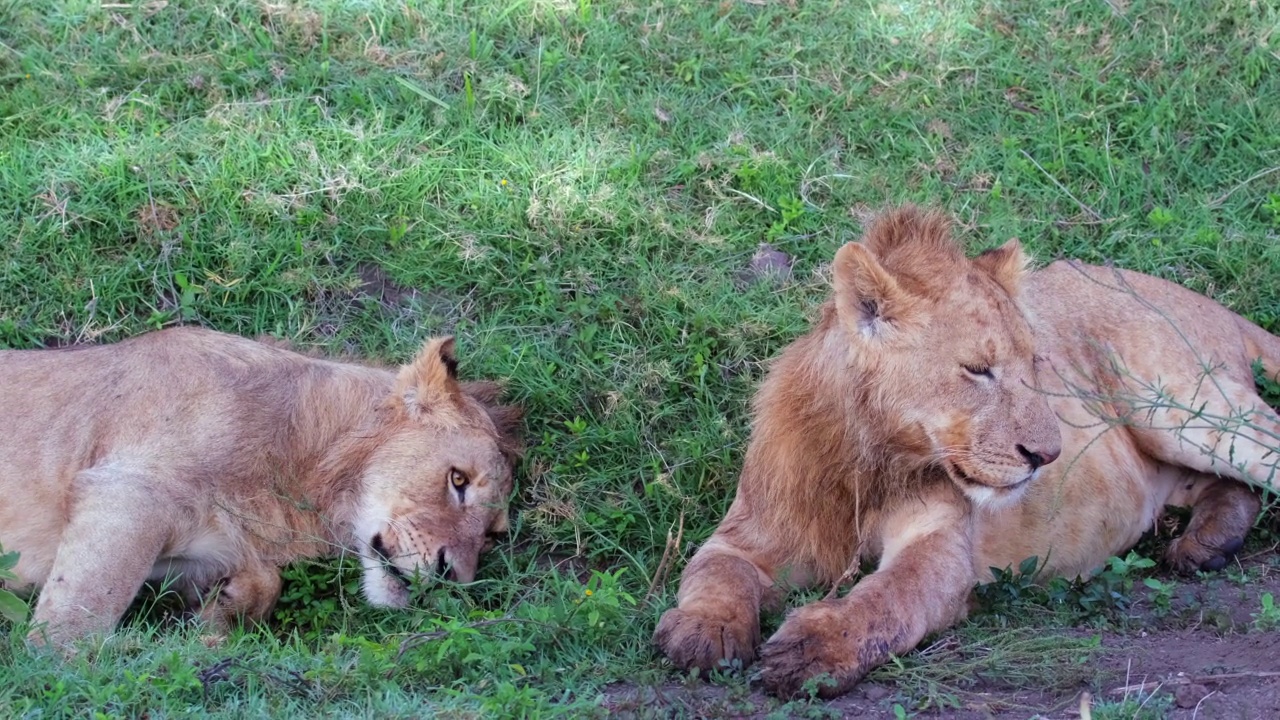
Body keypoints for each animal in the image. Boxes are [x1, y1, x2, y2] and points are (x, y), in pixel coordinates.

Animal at [1, 325, 519, 645]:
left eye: (492, 536)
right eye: (457, 480)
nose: (454, 577)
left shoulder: (205, 545)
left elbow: (268, 582)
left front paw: (220, 612)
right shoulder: (126, 486)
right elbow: (82, 614)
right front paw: (52, 671)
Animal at [655, 206, 1274, 696]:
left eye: (1036, 364)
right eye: (977, 369)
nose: (1048, 456)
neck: (869, 462)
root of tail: (1196, 297)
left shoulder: (941, 548)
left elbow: (888, 598)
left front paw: (813, 650)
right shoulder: (751, 532)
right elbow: (715, 573)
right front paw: (701, 633)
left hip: (1183, 410)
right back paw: (1206, 544)